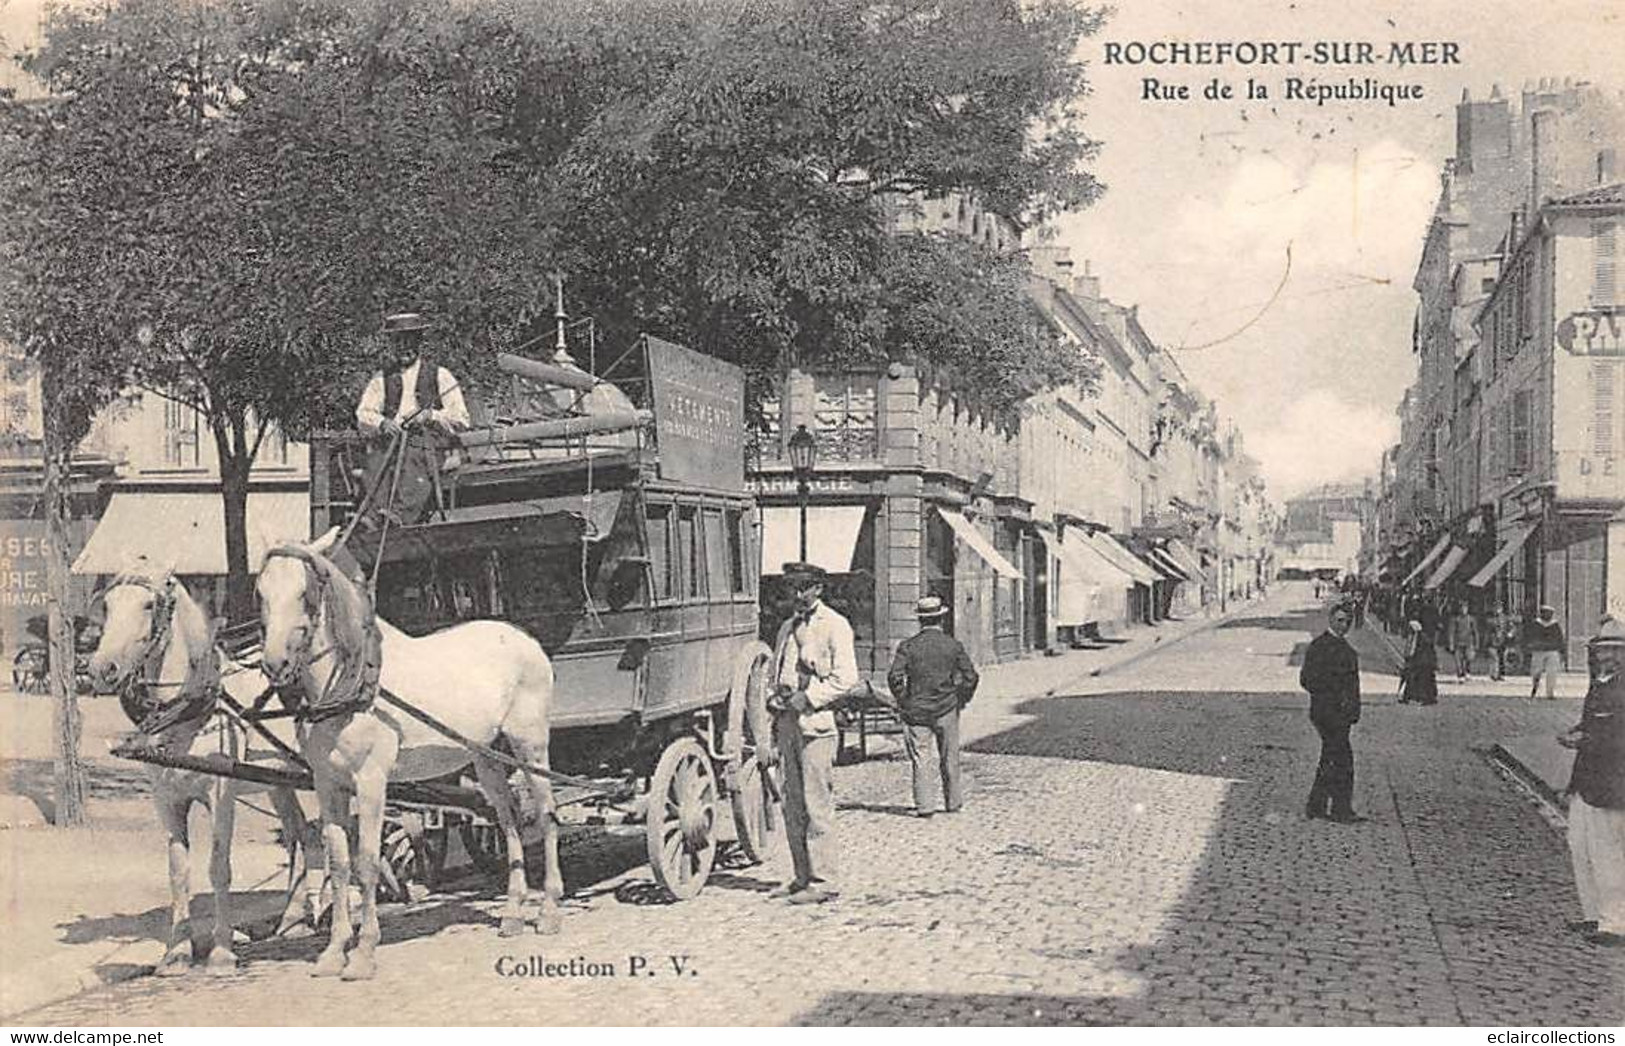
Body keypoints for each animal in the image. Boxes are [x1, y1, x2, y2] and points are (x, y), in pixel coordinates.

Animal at [88, 558, 320, 974]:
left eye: (149, 605)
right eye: (109, 605)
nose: (101, 669)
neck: (189, 709)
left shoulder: (220, 795)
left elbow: (217, 866)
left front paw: (222, 950)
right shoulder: (167, 800)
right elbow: (178, 872)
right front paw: (176, 952)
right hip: (280, 781)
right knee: (300, 833)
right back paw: (294, 920)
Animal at [251, 532, 559, 981]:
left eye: (306, 593)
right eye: (261, 591)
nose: (275, 664)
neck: (350, 682)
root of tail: (525, 639)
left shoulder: (371, 781)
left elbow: (365, 862)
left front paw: (364, 952)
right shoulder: (327, 784)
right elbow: (339, 863)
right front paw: (334, 951)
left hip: (530, 746)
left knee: (548, 815)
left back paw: (550, 909)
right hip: (487, 758)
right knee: (510, 822)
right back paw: (514, 914)